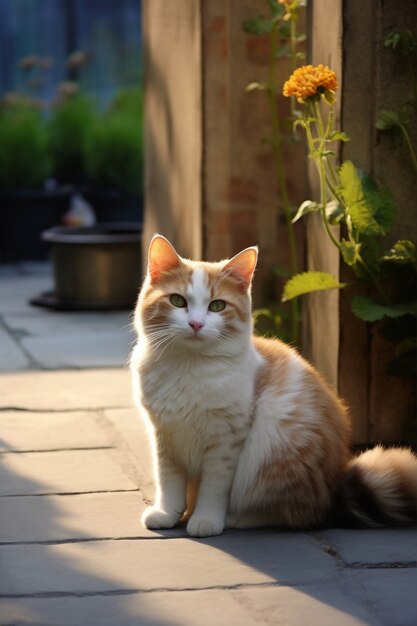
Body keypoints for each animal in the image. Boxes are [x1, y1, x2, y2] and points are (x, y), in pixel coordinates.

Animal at [131, 234, 416, 536]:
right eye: (177, 301)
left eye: (217, 306)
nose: (196, 324)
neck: (189, 367)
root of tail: (336, 487)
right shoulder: (164, 437)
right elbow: (169, 483)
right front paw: (167, 514)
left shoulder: (226, 442)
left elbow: (213, 488)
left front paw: (206, 519)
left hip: (277, 451)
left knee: (298, 513)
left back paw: (238, 518)